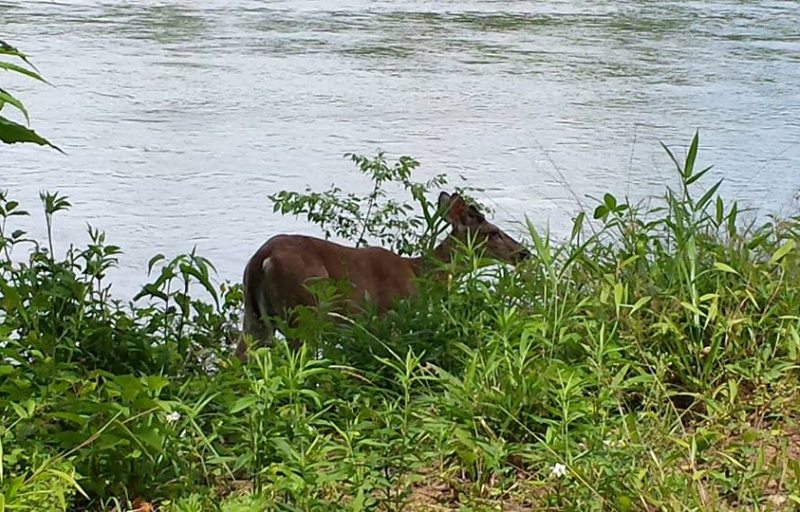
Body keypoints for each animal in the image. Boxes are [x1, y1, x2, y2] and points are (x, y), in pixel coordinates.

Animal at [235, 191, 529, 362]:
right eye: (493, 232)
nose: (524, 253)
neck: (419, 274)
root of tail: (263, 258)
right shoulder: (390, 316)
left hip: (254, 315)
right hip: (302, 310)